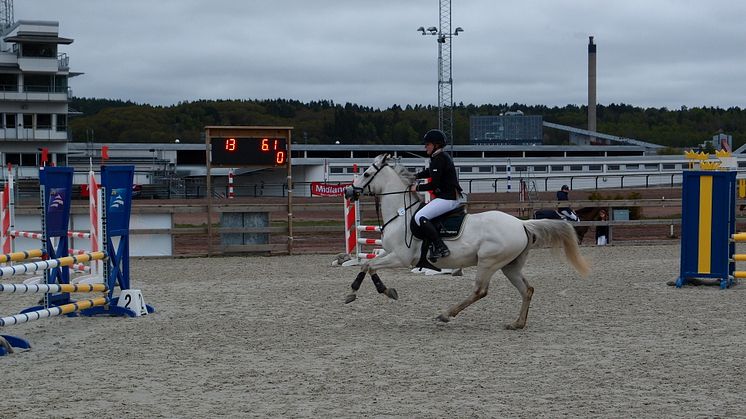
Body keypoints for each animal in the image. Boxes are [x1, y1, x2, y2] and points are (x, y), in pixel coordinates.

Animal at [344, 153, 592, 330]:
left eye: (366, 174)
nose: (347, 192)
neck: (401, 214)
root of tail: (521, 224)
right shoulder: (389, 253)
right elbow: (366, 264)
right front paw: (367, 290)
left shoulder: (401, 258)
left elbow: (370, 265)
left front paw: (372, 291)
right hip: (510, 266)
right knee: (527, 290)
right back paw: (517, 323)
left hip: (488, 262)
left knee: (480, 291)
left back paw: (446, 314)